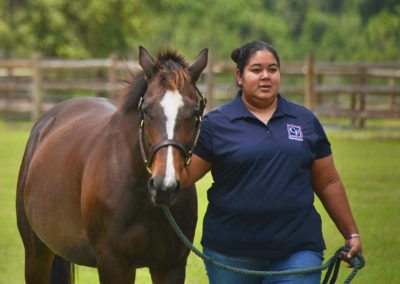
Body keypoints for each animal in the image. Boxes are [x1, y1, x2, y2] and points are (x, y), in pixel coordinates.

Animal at [16, 45, 208, 282]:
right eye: (146, 110)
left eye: (194, 113)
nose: (165, 186)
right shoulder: (113, 263)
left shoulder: (170, 267)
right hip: (36, 253)